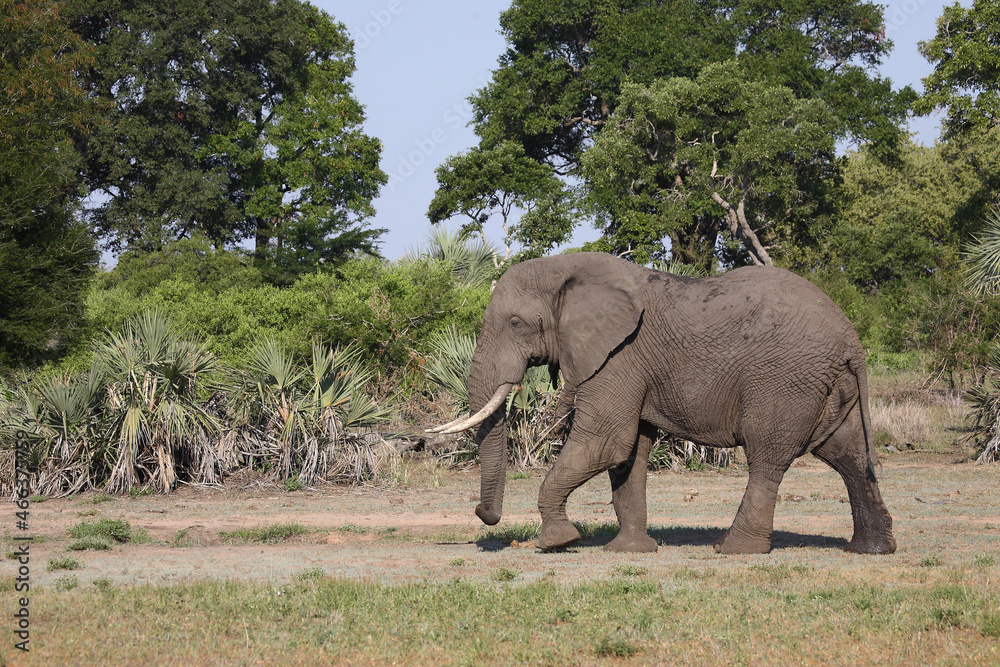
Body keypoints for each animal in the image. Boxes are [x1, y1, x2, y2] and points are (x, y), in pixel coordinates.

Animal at [429, 252, 896, 555]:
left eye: (516, 323)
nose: (483, 514)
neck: (569, 268)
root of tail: (851, 337)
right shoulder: (627, 363)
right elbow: (629, 452)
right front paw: (630, 551)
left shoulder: (620, 355)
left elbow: (605, 441)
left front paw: (556, 543)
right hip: (827, 385)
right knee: (848, 455)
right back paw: (871, 550)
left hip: (785, 380)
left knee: (767, 457)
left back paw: (732, 550)